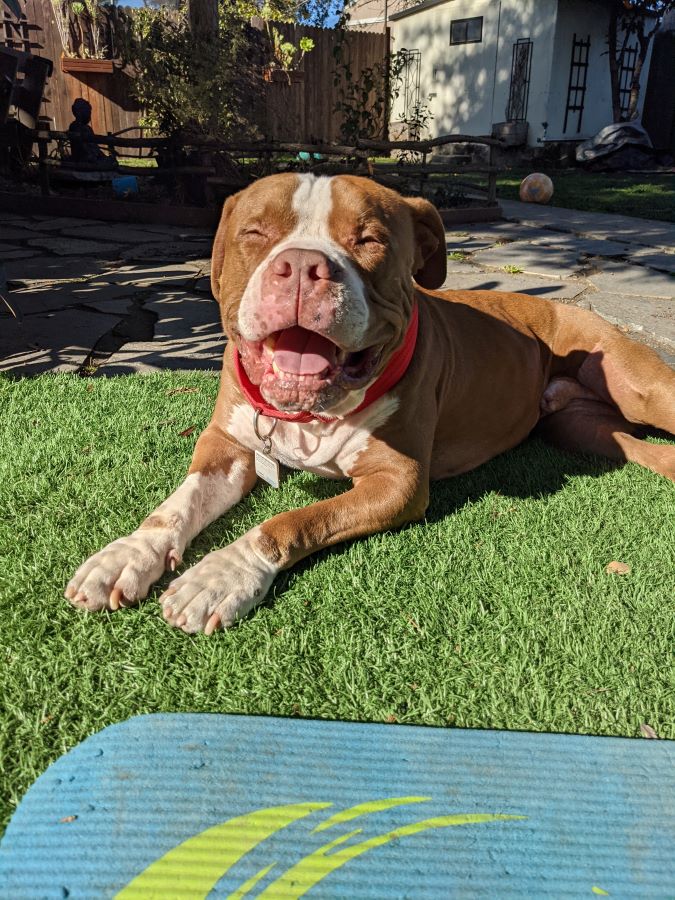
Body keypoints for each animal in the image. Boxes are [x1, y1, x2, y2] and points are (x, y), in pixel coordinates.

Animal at [64, 174, 675, 632]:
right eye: (255, 231)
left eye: (369, 239)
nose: (301, 266)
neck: (308, 414)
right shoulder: (228, 443)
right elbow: (178, 504)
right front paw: (128, 554)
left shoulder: (396, 481)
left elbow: (290, 521)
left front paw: (221, 576)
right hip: (586, 430)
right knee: (648, 452)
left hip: (640, 389)